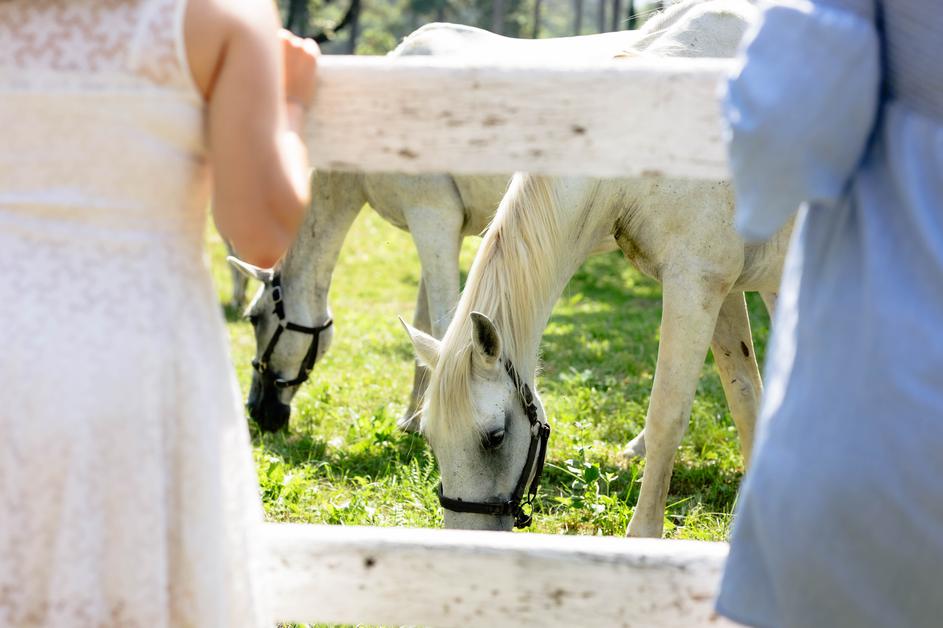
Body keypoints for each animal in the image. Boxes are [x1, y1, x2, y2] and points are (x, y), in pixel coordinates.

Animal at [229, 22, 660, 432]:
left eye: (255, 318)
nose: (256, 410)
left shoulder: (432, 218)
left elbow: (440, 325)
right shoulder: (436, 228)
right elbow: (420, 325)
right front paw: (412, 419)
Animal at [401, 0, 790, 538]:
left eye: (495, 437)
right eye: (431, 437)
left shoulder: (695, 285)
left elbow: (667, 416)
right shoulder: (721, 290)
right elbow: (746, 399)